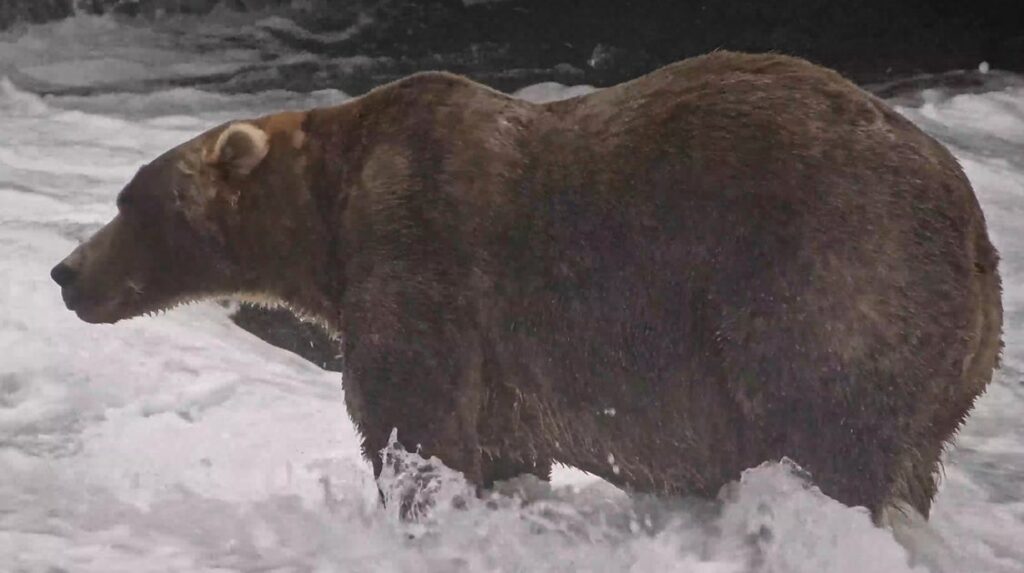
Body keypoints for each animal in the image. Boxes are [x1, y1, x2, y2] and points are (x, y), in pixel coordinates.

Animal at [51, 51, 1002, 521]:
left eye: (130, 200)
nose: (66, 272)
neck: (327, 216)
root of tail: (974, 227)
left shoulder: (421, 249)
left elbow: (412, 418)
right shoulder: (505, 360)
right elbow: (502, 444)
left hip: (828, 276)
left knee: (827, 429)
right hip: (950, 363)